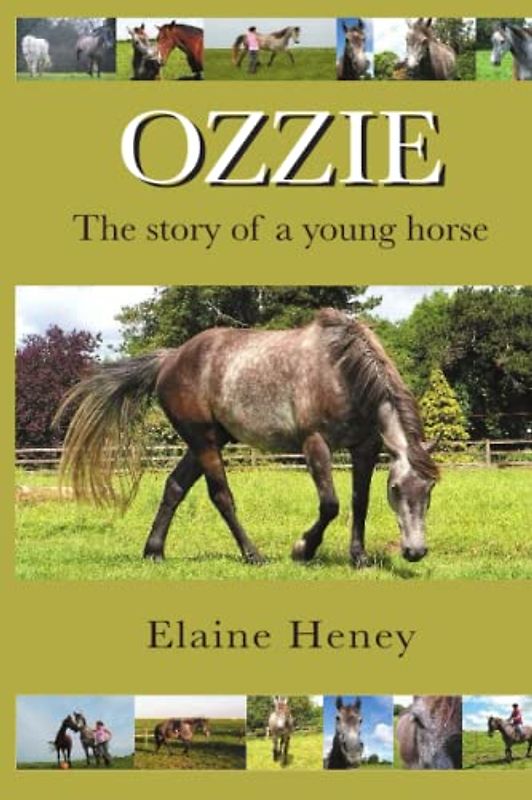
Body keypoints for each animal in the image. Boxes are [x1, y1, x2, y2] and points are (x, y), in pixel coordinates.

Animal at [57, 309, 439, 569]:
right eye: (396, 489)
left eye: (430, 489)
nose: (415, 552)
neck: (341, 371)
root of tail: (169, 359)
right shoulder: (315, 444)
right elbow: (330, 504)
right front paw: (303, 549)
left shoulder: (365, 448)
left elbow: (360, 502)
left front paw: (358, 558)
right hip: (204, 442)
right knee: (221, 497)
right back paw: (253, 554)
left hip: (208, 441)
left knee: (175, 487)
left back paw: (154, 551)